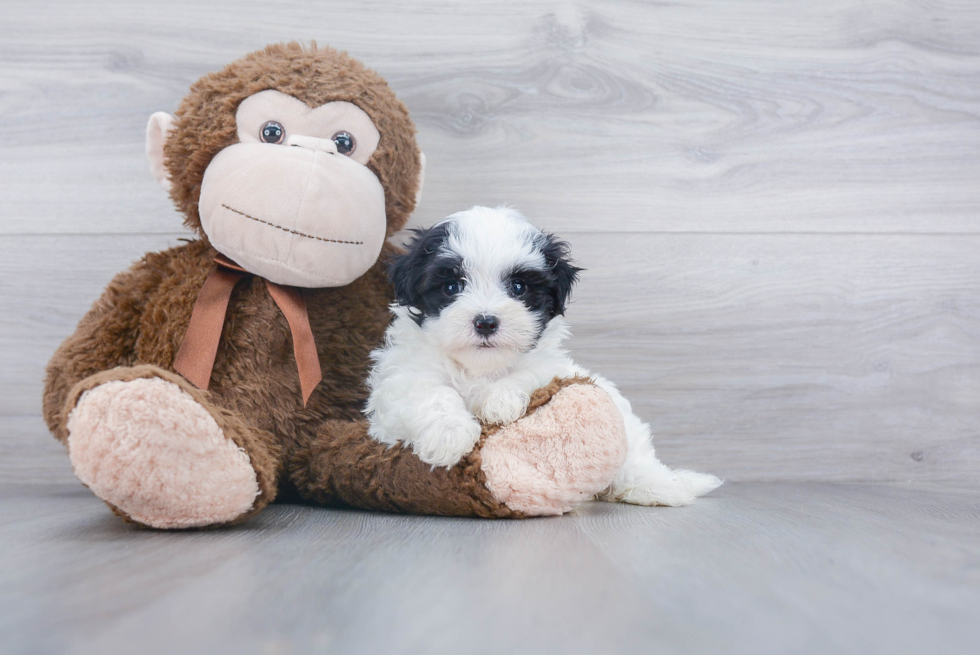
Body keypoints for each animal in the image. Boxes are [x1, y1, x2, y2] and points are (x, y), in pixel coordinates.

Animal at [368, 206, 720, 508]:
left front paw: (499, 401)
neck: (480, 369)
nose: (486, 321)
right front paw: (448, 434)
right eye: (452, 286)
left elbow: (529, 374)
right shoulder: (401, 378)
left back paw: (656, 488)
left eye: (518, 287)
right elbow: (429, 391)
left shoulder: (551, 367)